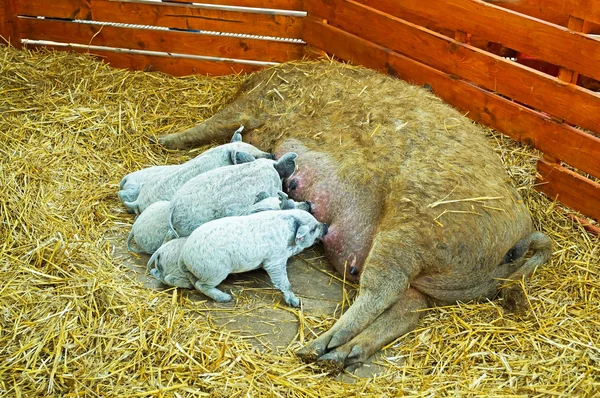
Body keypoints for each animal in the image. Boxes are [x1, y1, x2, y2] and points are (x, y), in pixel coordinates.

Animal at [156, 60, 552, 372]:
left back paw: (315, 349)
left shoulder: (255, 106)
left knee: (380, 290)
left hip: (413, 226)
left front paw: (162, 139)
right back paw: (339, 356)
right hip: (421, 272)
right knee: (408, 310)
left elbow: (214, 123)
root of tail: (522, 234)